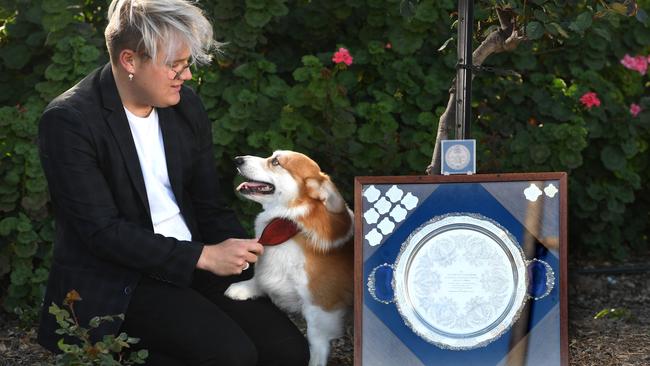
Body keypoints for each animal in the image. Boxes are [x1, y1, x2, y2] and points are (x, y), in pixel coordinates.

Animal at [224, 149, 354, 366]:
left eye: (276, 162)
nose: (237, 160)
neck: (289, 221)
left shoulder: (321, 307)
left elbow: (317, 343)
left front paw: (314, 362)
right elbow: (260, 279)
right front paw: (244, 288)